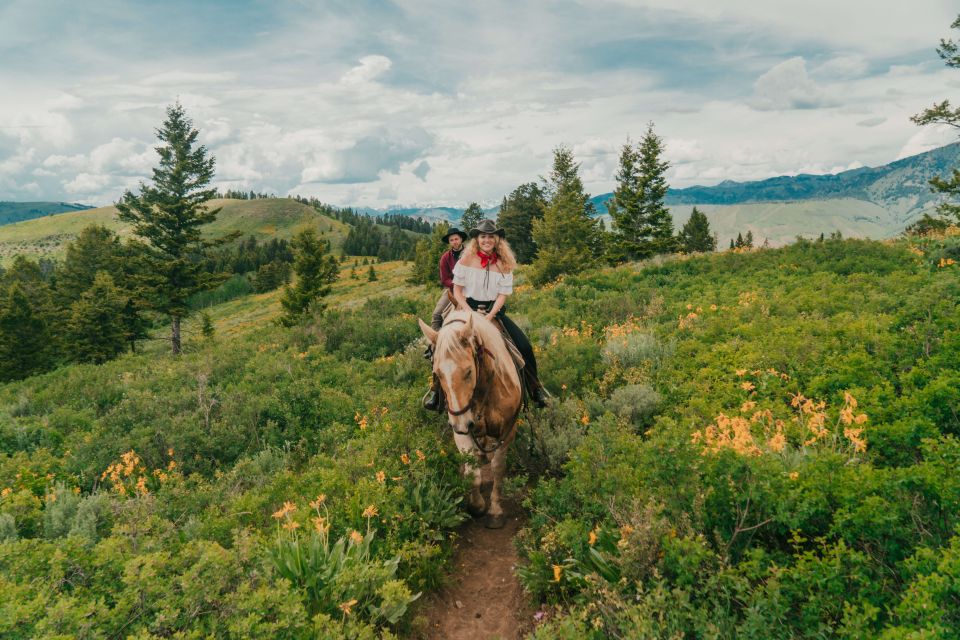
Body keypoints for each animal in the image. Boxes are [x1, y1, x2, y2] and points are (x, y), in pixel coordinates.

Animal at [420, 308, 524, 528]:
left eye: (468, 372)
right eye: (437, 373)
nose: (461, 423)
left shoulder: (508, 430)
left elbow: (498, 468)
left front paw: (495, 511)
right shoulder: (460, 431)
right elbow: (471, 473)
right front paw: (476, 506)